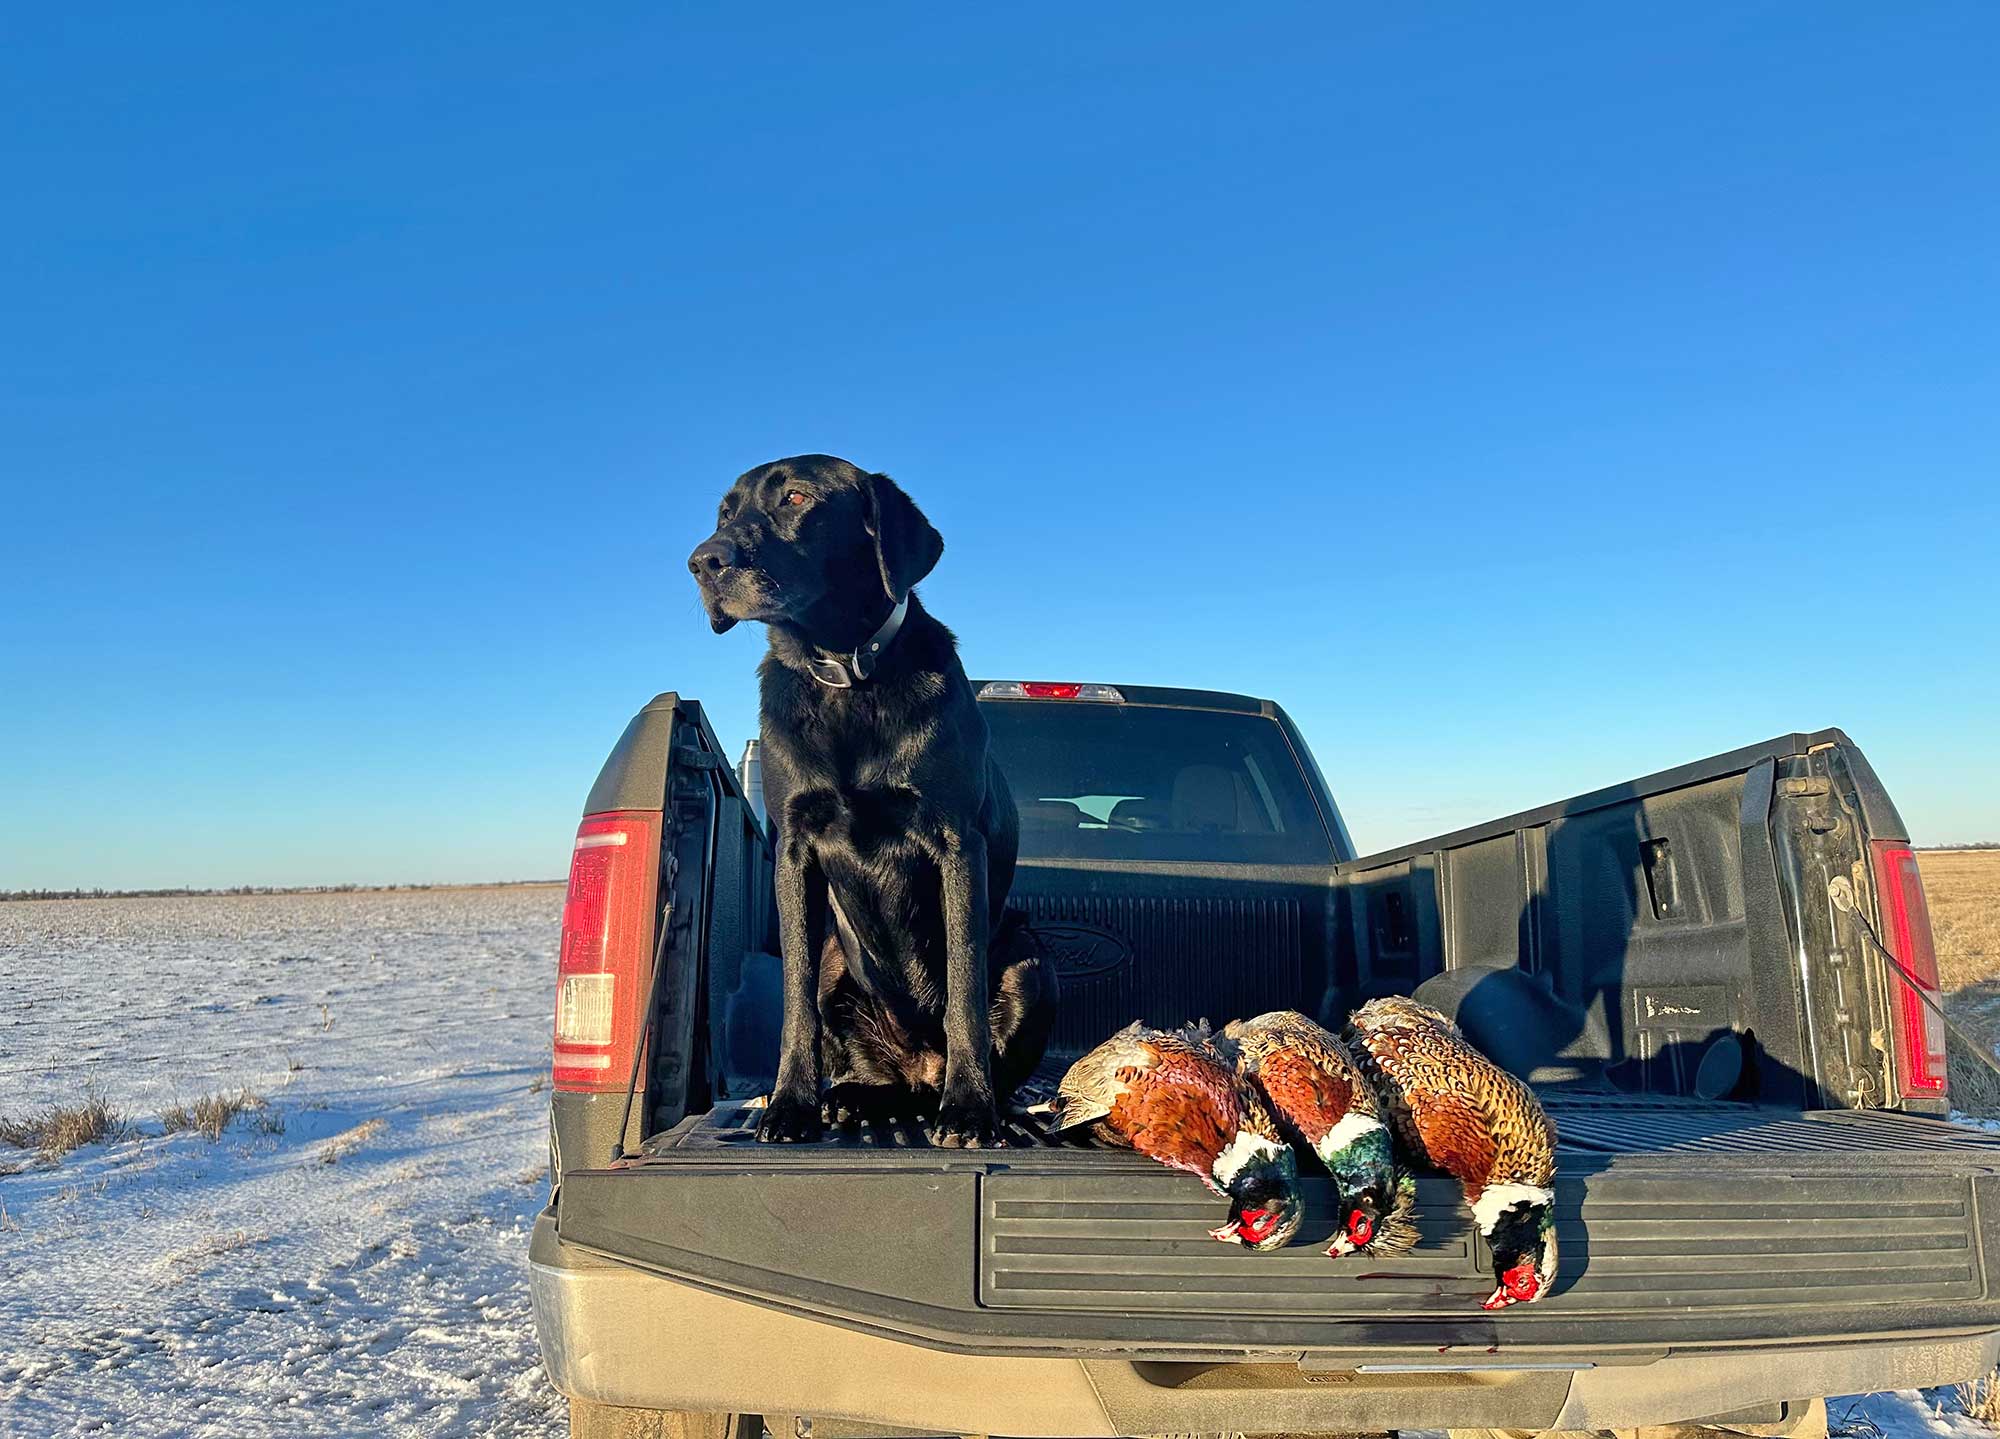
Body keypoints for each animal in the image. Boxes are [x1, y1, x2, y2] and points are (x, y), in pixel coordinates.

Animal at [688, 455, 1056, 1151]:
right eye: (724, 511)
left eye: (796, 498)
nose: (702, 561)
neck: (846, 677)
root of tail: (919, 1070)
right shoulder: (796, 848)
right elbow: (795, 1000)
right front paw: (792, 1105)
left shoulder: (956, 843)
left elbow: (965, 987)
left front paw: (970, 1109)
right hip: (841, 961)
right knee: (874, 1071)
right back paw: (850, 1100)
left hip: (1028, 959)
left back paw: (996, 1109)